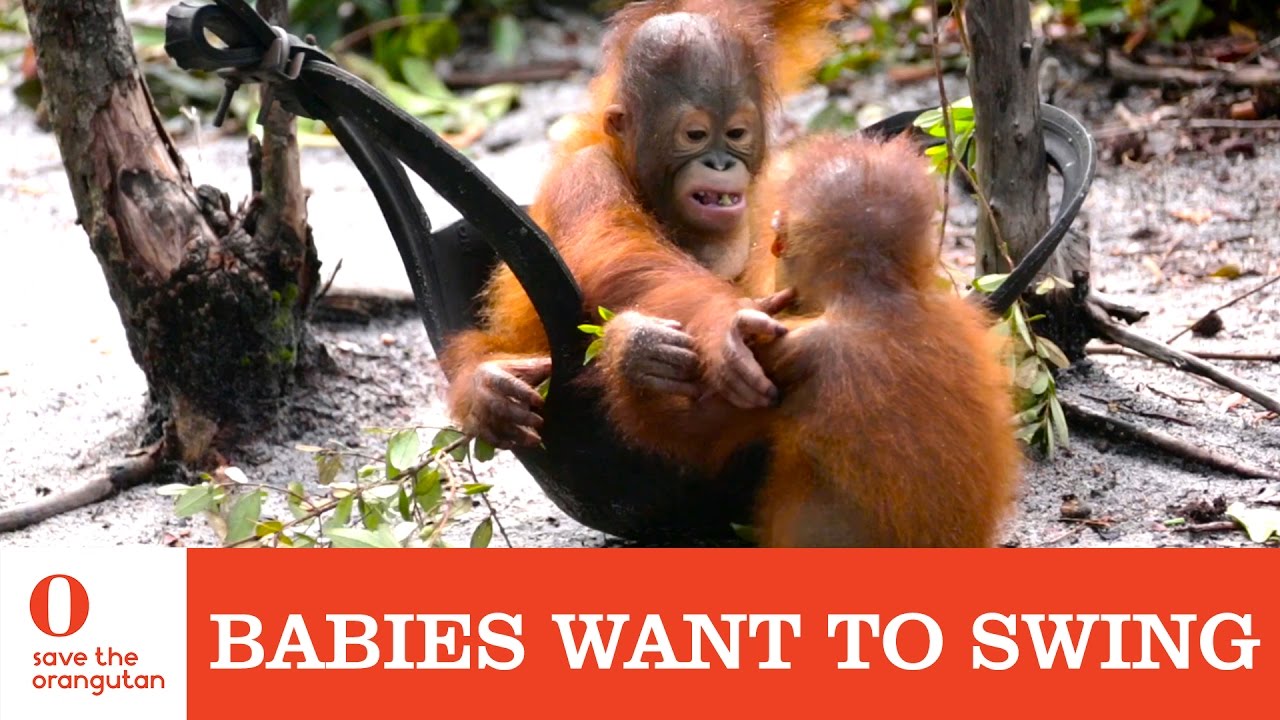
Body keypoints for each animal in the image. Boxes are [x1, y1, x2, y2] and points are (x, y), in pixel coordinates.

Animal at [438, 0, 837, 450]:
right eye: (695, 135)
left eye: (736, 133)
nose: (720, 164)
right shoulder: (586, 173)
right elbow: (615, 247)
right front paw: (721, 324)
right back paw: (496, 388)